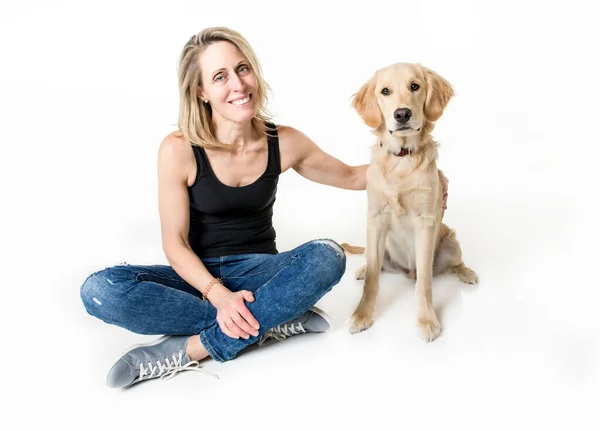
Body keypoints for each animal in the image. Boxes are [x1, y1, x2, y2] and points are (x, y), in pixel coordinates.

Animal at [346, 62, 478, 342]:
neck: (402, 158)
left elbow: (425, 282)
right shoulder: (376, 219)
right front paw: (362, 315)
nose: (402, 114)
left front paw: (426, 320)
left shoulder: (425, 221)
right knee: (374, 264)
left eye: (415, 86)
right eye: (385, 91)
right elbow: (373, 280)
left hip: (451, 241)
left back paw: (466, 272)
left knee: (453, 264)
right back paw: (362, 269)